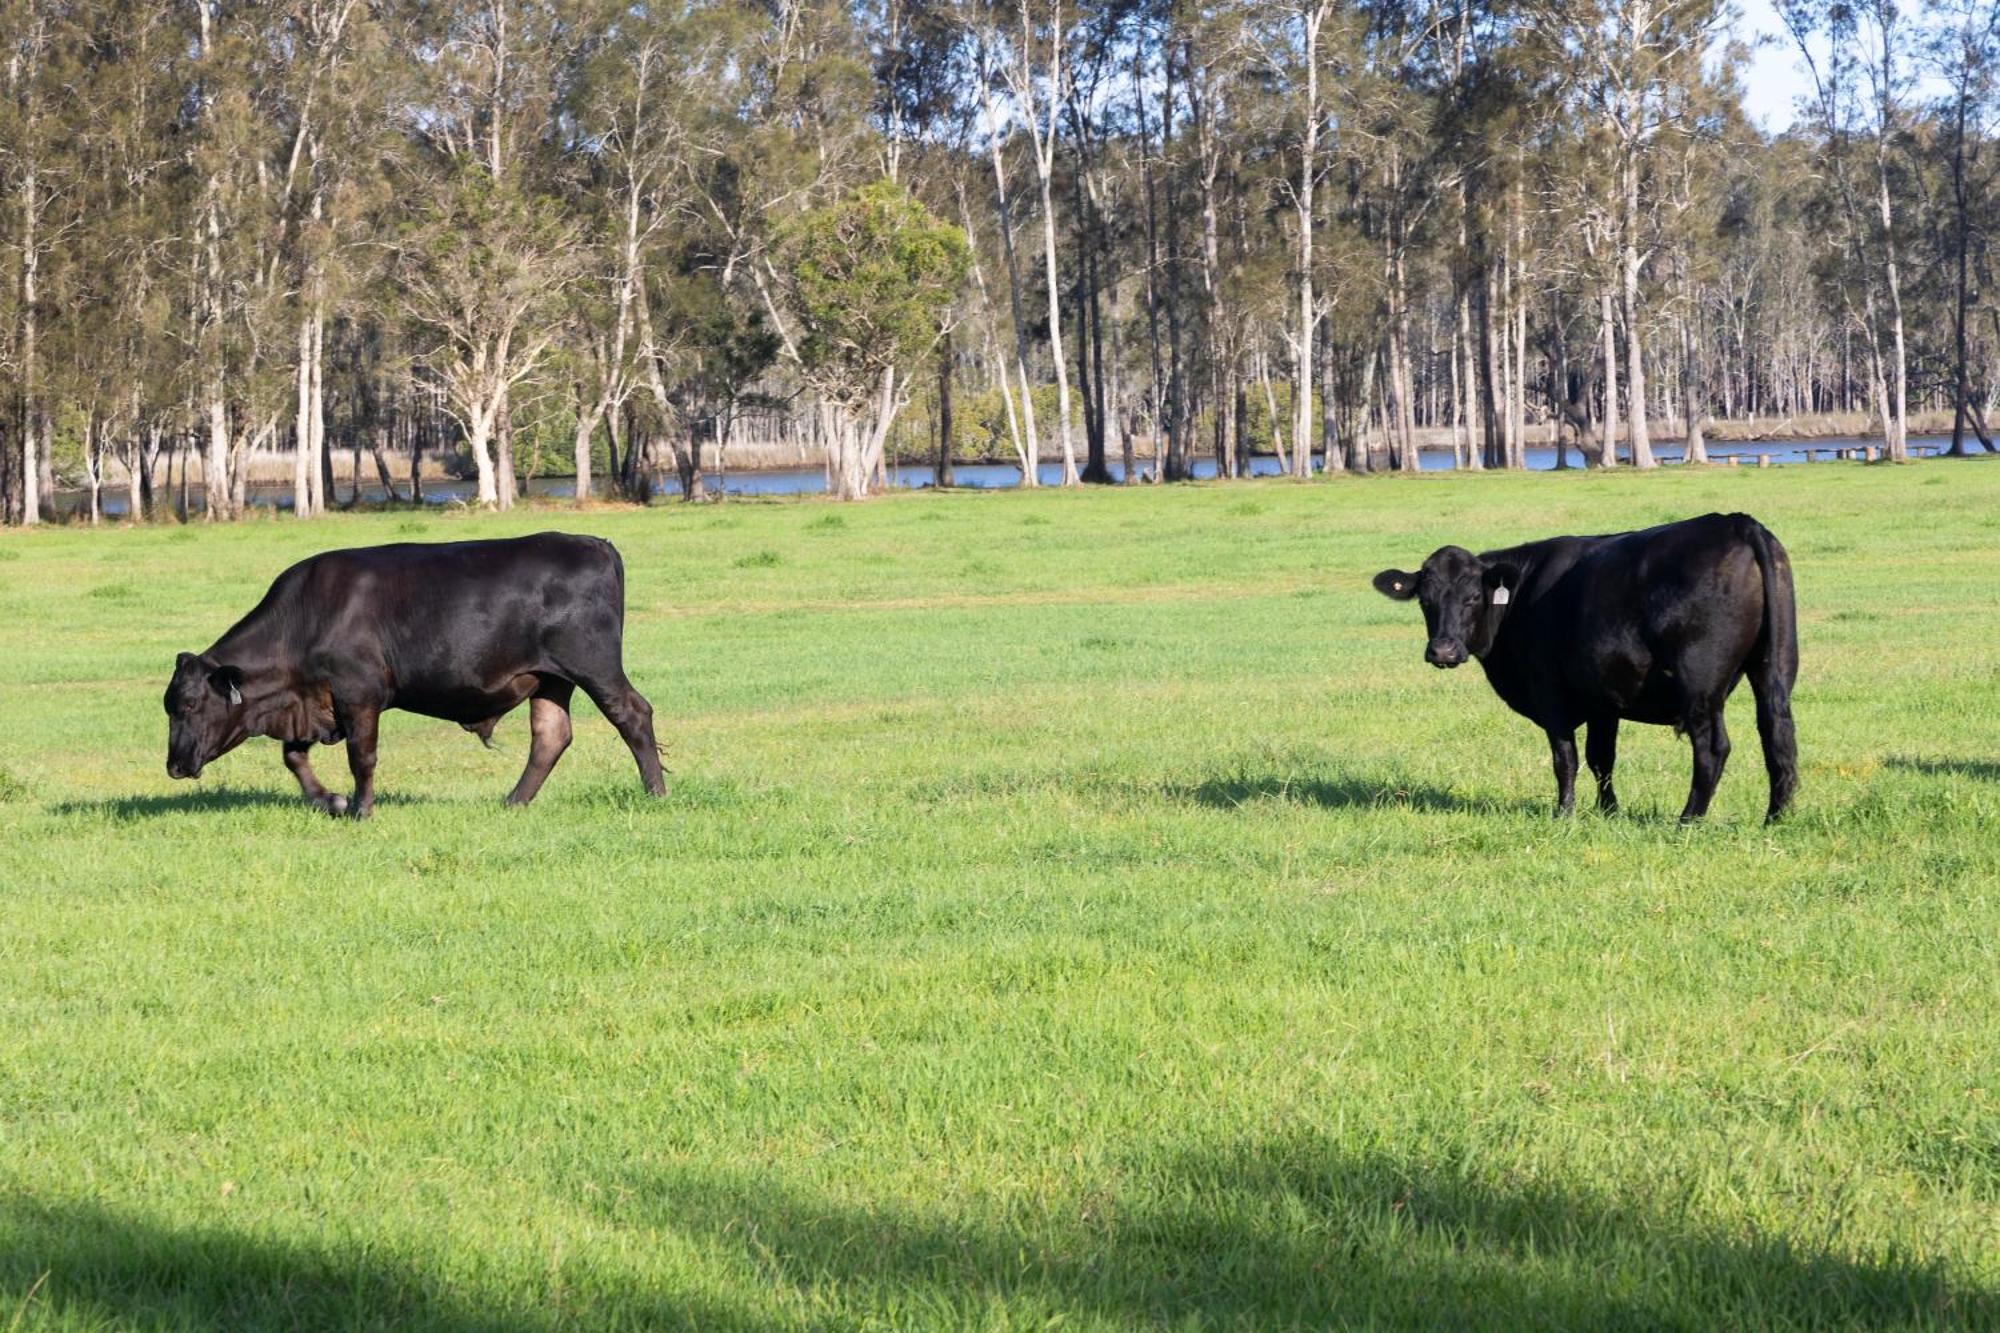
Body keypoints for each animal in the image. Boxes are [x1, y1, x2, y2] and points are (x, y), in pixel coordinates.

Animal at [162, 528, 664, 808]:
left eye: (189, 704)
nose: (174, 765)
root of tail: (593, 543)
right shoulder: (313, 701)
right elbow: (293, 756)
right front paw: (330, 800)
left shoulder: (358, 693)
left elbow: (362, 756)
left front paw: (361, 808)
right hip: (551, 679)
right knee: (551, 735)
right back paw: (514, 802)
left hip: (593, 665)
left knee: (633, 715)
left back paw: (655, 792)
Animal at [1368, 510, 1808, 816]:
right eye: (1425, 600)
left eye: (1473, 597)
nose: (1442, 651)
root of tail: (1736, 523)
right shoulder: (1604, 698)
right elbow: (1602, 758)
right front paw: (1608, 811)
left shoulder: (1550, 692)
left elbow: (1566, 758)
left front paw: (1564, 813)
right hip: (1773, 668)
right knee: (1777, 735)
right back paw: (1775, 818)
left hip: (1700, 684)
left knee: (1713, 749)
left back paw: (1688, 819)